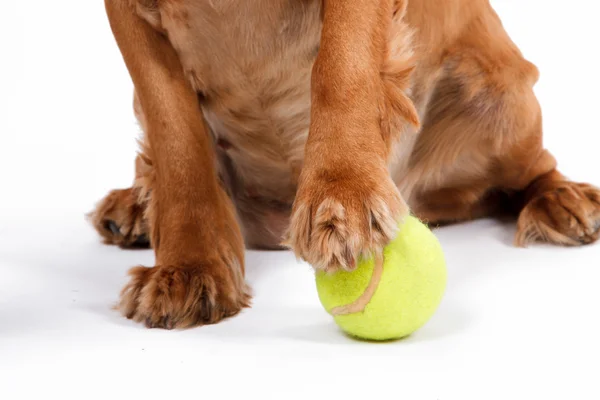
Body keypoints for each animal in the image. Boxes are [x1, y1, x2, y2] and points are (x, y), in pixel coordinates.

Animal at [91, 0, 600, 328]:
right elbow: (175, 133)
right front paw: (190, 267)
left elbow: (341, 62)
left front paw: (342, 195)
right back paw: (135, 206)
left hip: (498, 88)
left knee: (530, 170)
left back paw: (563, 200)